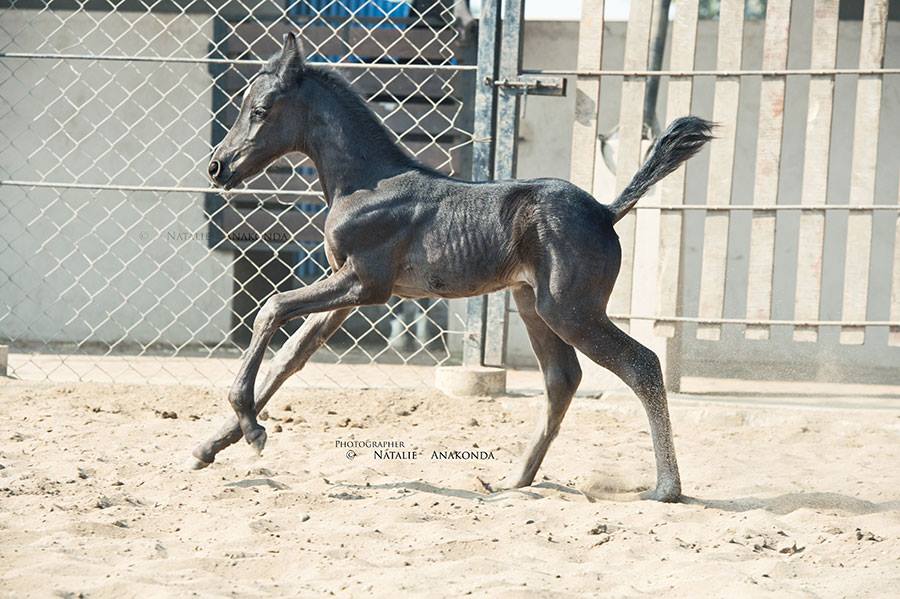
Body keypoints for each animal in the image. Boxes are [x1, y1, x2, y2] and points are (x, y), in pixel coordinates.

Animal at [193, 32, 712, 502]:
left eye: (260, 110)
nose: (217, 168)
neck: (365, 183)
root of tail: (606, 211)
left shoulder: (364, 283)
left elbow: (272, 307)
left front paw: (252, 428)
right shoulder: (344, 292)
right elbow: (291, 356)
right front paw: (208, 447)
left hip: (571, 310)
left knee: (641, 364)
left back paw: (666, 488)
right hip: (534, 304)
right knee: (561, 379)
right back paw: (513, 481)